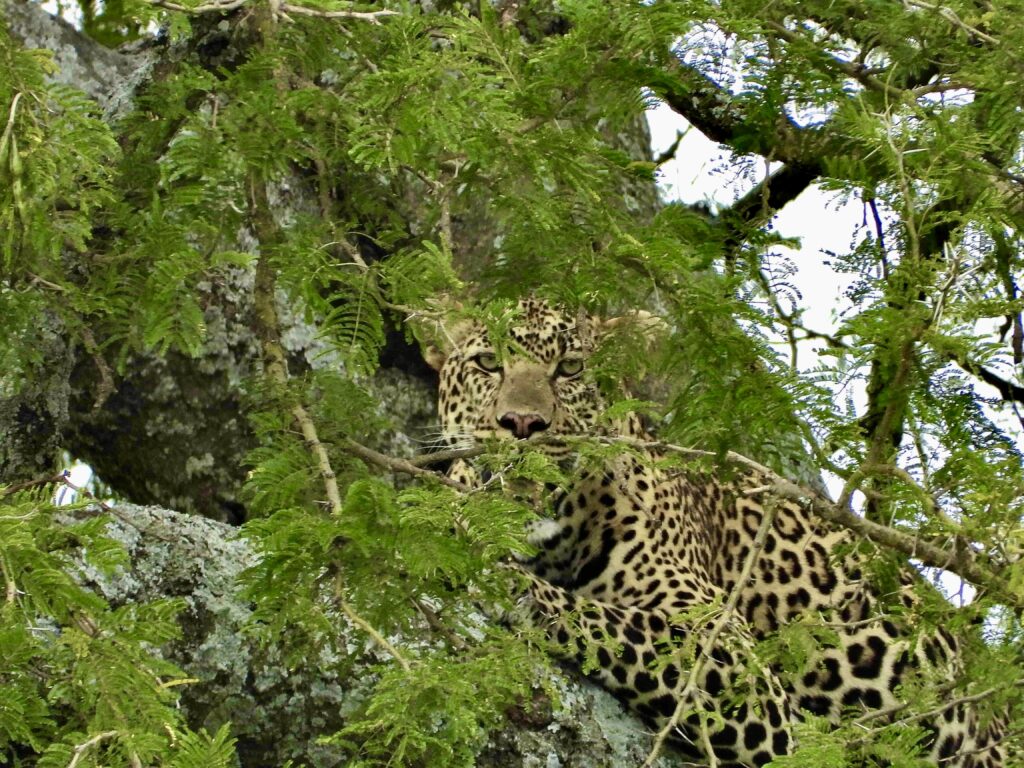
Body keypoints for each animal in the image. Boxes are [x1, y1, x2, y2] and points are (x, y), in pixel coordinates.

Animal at [419, 296, 1003, 765]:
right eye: (488, 363)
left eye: (571, 367)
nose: (522, 424)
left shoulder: (739, 667)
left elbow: (607, 621)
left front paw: (507, 583)